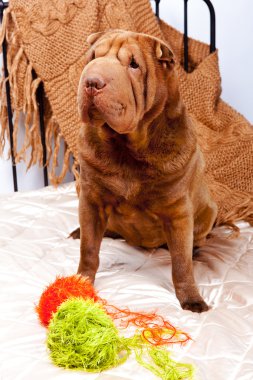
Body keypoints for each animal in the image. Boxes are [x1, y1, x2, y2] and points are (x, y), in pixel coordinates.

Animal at [73, 29, 217, 314]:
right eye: (93, 57)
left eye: (134, 65)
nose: (92, 82)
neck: (127, 148)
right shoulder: (91, 199)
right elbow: (89, 249)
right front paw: (81, 282)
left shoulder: (178, 212)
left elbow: (181, 263)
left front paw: (191, 299)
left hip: (209, 209)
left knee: (194, 243)